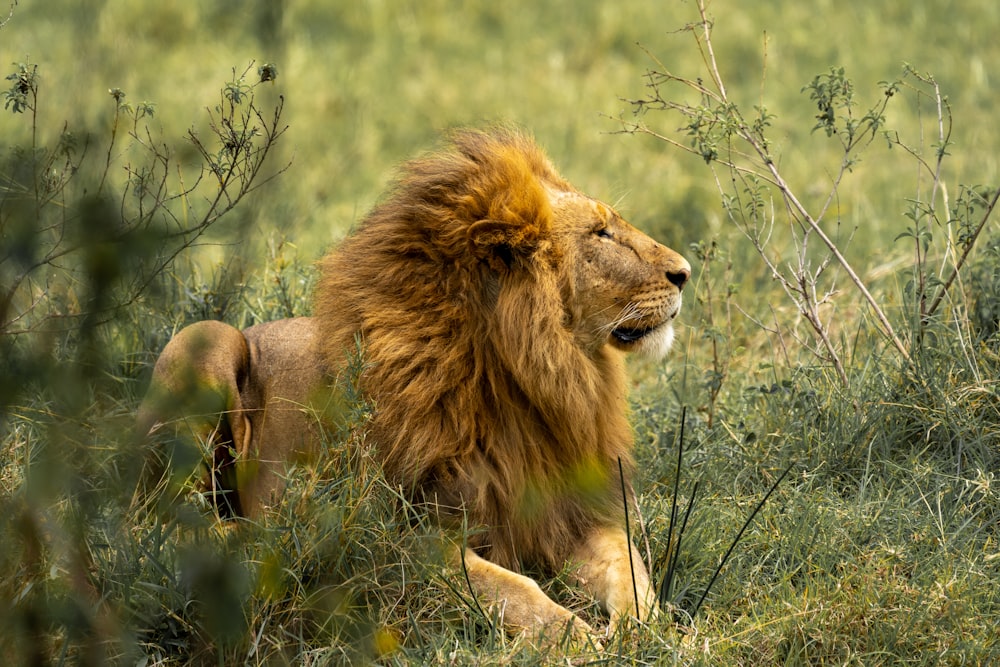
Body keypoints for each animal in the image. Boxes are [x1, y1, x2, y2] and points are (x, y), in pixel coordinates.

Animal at [139, 128, 688, 648]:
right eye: (602, 233)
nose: (685, 273)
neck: (530, 380)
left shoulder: (573, 512)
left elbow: (630, 569)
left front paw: (646, 629)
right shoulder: (394, 535)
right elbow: (510, 586)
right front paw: (573, 634)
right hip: (205, 340)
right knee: (162, 521)